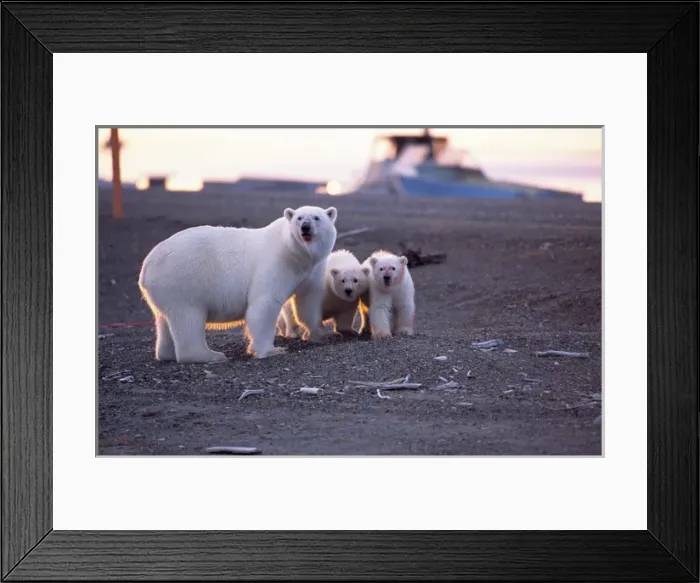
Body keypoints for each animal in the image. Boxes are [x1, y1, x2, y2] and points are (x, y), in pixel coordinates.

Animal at [138, 205, 338, 363]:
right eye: (299, 218)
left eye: (316, 217)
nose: (305, 227)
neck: (294, 253)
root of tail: (146, 266)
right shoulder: (275, 263)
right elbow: (264, 304)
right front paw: (271, 350)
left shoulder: (312, 269)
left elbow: (308, 300)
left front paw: (320, 334)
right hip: (182, 281)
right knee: (188, 318)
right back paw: (211, 355)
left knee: (164, 320)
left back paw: (166, 354)